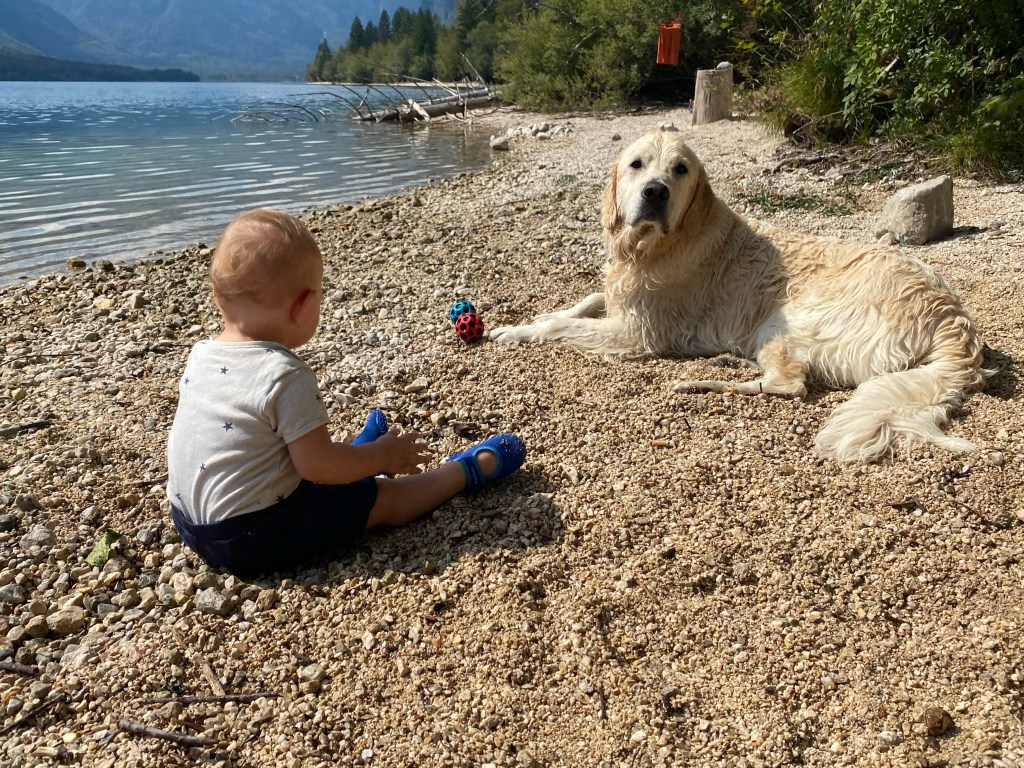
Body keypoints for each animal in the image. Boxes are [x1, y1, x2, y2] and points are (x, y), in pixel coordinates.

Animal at [490, 129, 989, 462]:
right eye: (636, 165)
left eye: (680, 169)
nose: (655, 192)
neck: (657, 246)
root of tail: (952, 317)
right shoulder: (618, 298)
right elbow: (581, 302)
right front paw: (525, 321)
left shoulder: (636, 333)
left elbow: (565, 323)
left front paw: (514, 333)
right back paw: (728, 363)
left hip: (784, 317)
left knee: (791, 383)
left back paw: (700, 381)